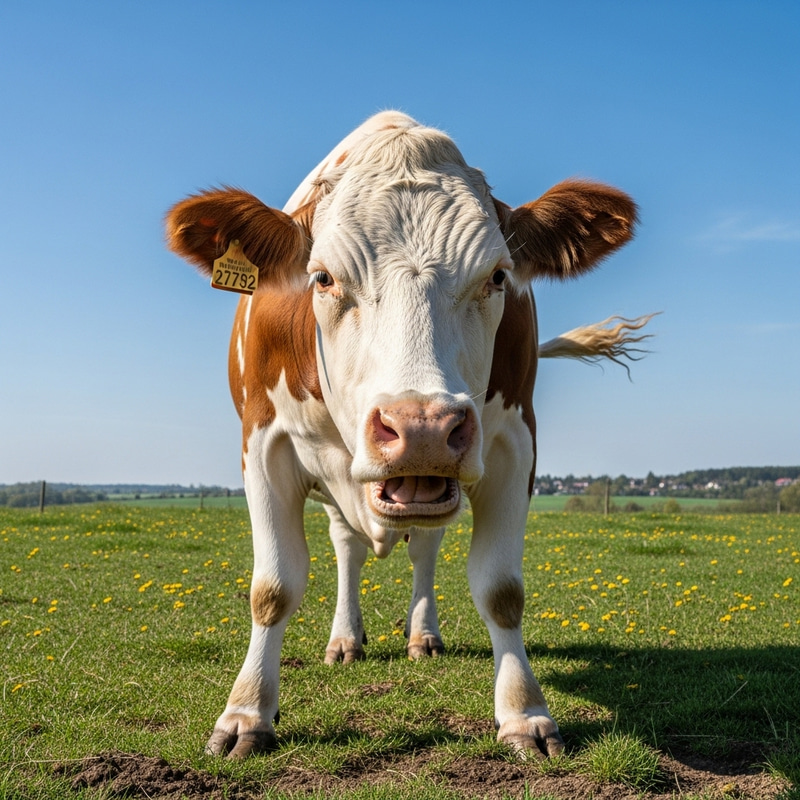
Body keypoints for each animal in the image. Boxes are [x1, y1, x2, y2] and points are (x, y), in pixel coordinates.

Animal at [165, 111, 652, 760]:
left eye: (498, 276)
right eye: (322, 277)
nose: (423, 426)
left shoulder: (513, 445)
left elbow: (501, 590)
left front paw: (524, 713)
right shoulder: (263, 444)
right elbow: (273, 587)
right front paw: (246, 713)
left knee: (423, 547)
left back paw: (422, 635)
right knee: (347, 547)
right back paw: (345, 639)